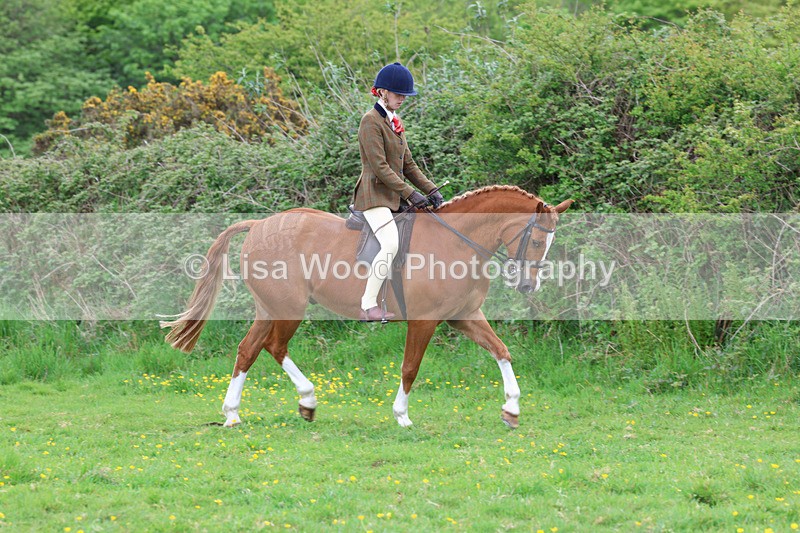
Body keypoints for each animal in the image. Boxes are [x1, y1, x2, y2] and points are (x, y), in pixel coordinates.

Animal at [161, 185, 572, 428]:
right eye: (538, 241)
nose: (528, 285)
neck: (458, 242)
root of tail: (260, 224)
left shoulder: (464, 317)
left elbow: (502, 351)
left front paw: (512, 409)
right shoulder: (424, 321)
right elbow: (410, 368)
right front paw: (402, 417)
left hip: (268, 307)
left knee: (248, 350)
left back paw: (233, 414)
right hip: (288, 307)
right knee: (274, 346)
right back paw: (307, 400)